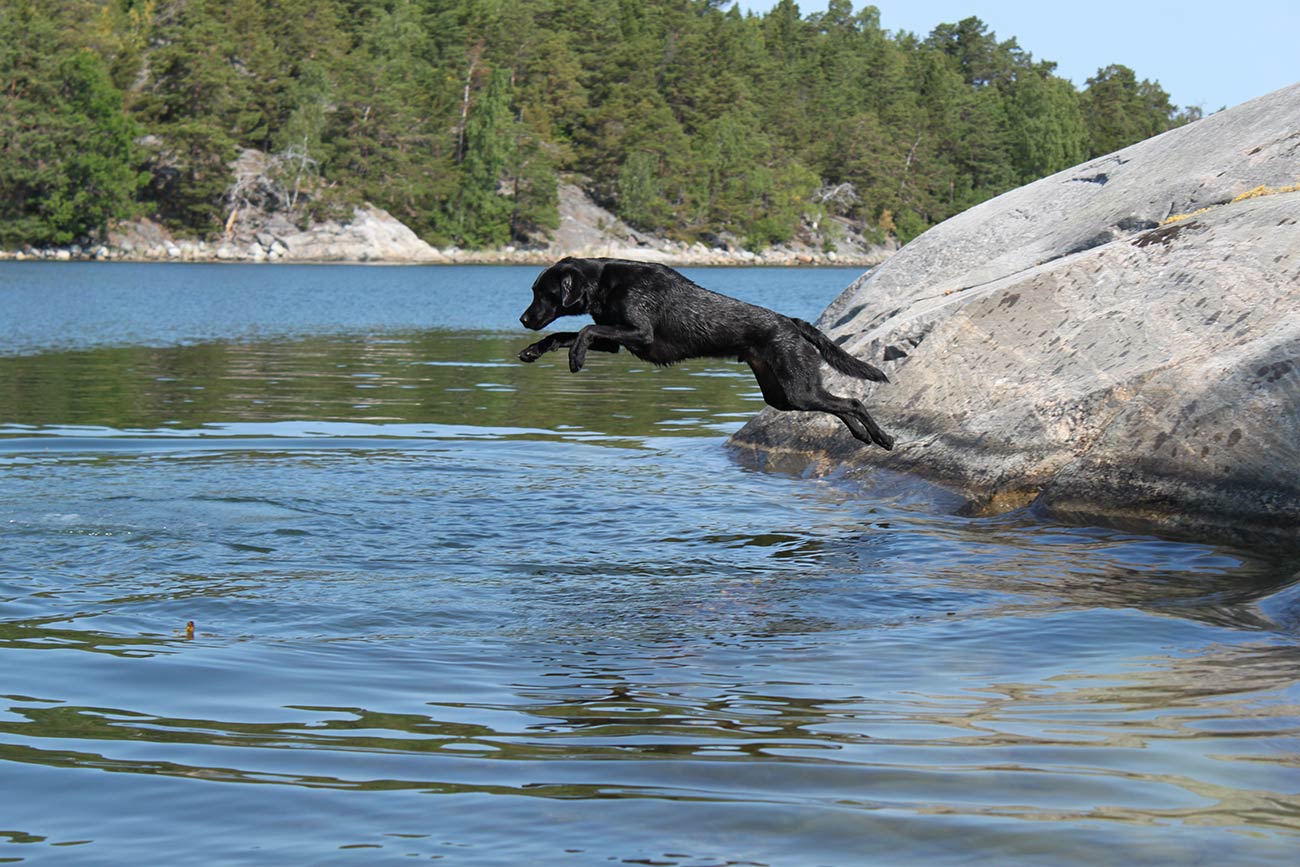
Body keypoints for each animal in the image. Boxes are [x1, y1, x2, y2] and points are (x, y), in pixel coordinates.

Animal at [517, 256, 894, 447]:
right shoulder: (614, 342)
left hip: (798, 390)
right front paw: (534, 350)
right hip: (783, 397)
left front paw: (576, 358)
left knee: (852, 402)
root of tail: (791, 321)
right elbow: (565, 333)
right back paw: (863, 436)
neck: (605, 282)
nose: (522, 319)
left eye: (543, 293)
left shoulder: (638, 333)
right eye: (534, 291)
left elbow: (583, 330)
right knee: (840, 405)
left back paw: (882, 437)